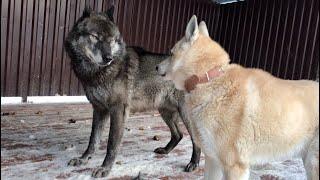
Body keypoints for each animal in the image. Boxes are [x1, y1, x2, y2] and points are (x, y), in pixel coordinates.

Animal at [156, 15, 318, 180]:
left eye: (170, 53)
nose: (156, 67)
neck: (209, 79)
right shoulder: (212, 160)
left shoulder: (234, 166)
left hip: (312, 164)